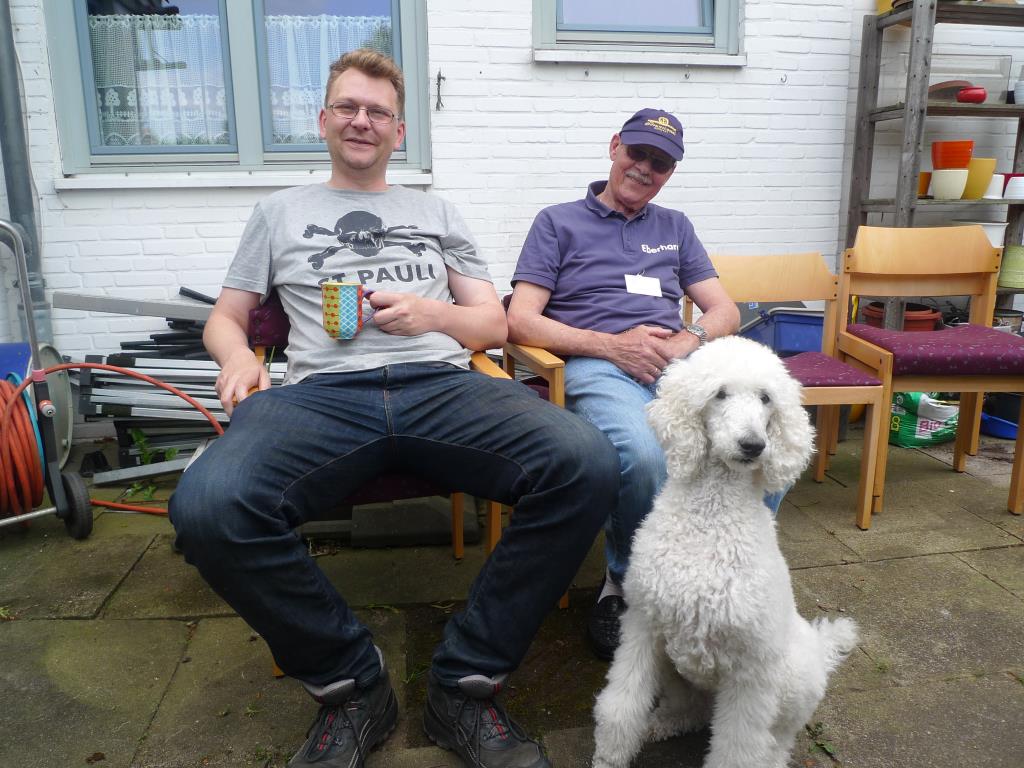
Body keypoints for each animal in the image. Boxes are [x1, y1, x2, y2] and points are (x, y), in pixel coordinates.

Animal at [592, 336, 858, 768]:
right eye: (719, 394)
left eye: (766, 398)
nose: (753, 445)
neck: (711, 519)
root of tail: (820, 648)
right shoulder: (643, 628)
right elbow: (620, 707)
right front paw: (609, 758)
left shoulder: (751, 671)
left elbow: (738, 749)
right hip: (677, 669)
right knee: (693, 712)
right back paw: (660, 724)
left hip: (793, 681)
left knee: (777, 740)